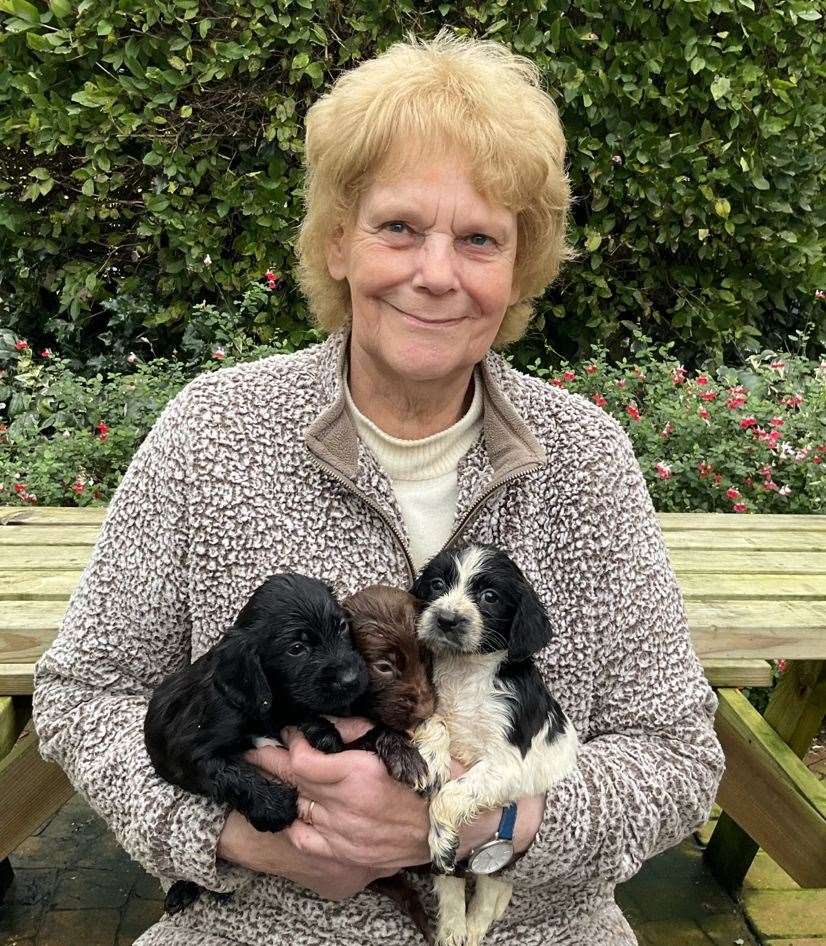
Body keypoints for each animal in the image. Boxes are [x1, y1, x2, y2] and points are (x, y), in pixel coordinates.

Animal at [144, 572, 366, 912]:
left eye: (341, 626)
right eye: (296, 648)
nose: (352, 679)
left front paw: (321, 730)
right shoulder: (191, 750)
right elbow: (231, 774)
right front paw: (273, 806)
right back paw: (183, 889)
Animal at [408, 544, 576, 944]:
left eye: (489, 597)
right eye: (436, 585)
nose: (447, 619)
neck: (466, 673)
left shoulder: (508, 765)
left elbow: (450, 794)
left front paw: (440, 834)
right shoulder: (434, 704)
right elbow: (435, 724)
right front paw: (430, 757)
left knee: (489, 888)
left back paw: (472, 928)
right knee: (450, 879)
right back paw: (453, 928)